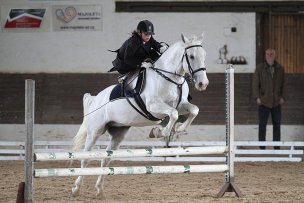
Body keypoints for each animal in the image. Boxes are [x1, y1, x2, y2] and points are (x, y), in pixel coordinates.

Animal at [71, 34, 209, 199]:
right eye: (191, 56)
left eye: (204, 56)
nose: (203, 84)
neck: (169, 78)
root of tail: (95, 99)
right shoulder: (154, 107)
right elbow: (173, 114)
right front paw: (159, 132)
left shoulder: (181, 105)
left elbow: (193, 110)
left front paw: (178, 128)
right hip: (94, 132)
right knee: (85, 159)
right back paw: (76, 189)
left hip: (118, 133)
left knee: (106, 160)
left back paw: (100, 191)